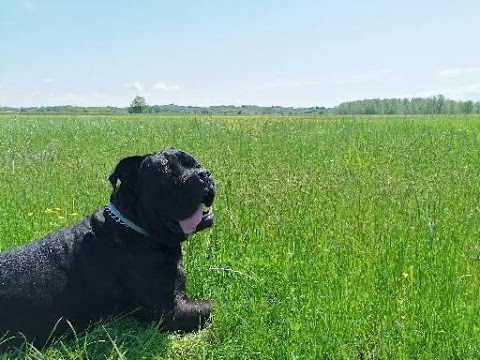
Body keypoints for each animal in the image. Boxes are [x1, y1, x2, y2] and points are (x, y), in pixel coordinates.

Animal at [0, 148, 215, 350]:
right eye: (168, 173)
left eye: (195, 163)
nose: (204, 174)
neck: (134, 225)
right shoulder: (173, 311)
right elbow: (215, 305)